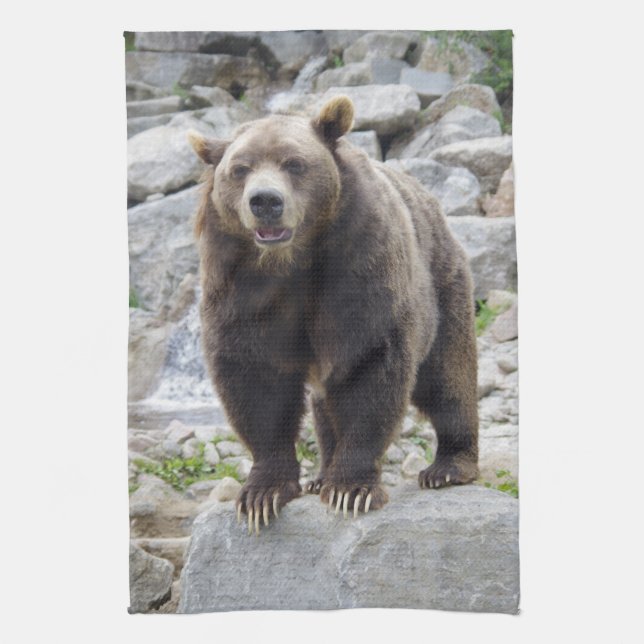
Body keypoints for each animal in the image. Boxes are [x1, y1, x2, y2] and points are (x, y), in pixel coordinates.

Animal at [189, 96, 479, 535]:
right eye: (239, 169)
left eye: (294, 163)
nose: (265, 201)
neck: (292, 261)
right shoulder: (239, 285)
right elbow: (256, 380)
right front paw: (262, 495)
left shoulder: (357, 263)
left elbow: (367, 365)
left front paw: (351, 489)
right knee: (325, 402)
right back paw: (320, 475)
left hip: (444, 285)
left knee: (448, 375)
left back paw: (449, 466)